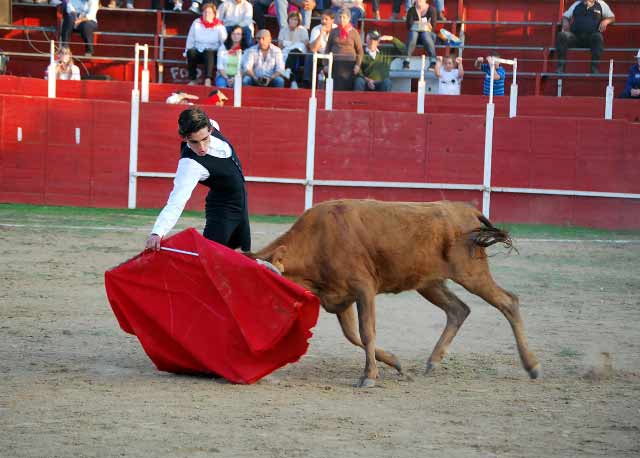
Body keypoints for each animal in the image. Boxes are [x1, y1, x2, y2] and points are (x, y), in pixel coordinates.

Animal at [250, 199, 540, 388]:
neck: (318, 239)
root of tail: (468, 210)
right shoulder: (339, 298)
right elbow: (353, 335)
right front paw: (395, 363)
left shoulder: (363, 288)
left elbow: (366, 331)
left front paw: (369, 376)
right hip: (429, 283)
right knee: (459, 309)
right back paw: (433, 362)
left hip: (472, 274)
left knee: (508, 302)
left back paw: (532, 366)